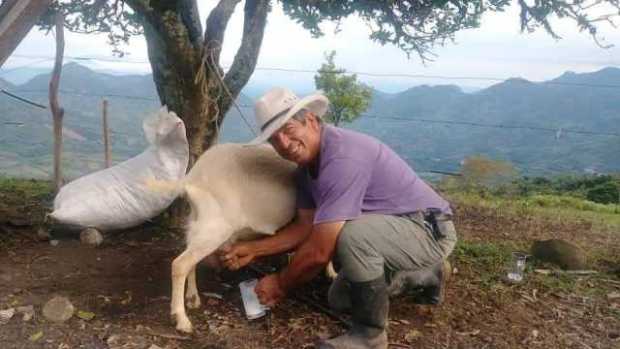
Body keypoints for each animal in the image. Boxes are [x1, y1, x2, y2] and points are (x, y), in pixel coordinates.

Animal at [149, 142, 296, 332]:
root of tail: (191, 179)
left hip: (197, 222)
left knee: (190, 258)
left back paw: (192, 298)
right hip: (216, 228)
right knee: (180, 264)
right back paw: (181, 320)